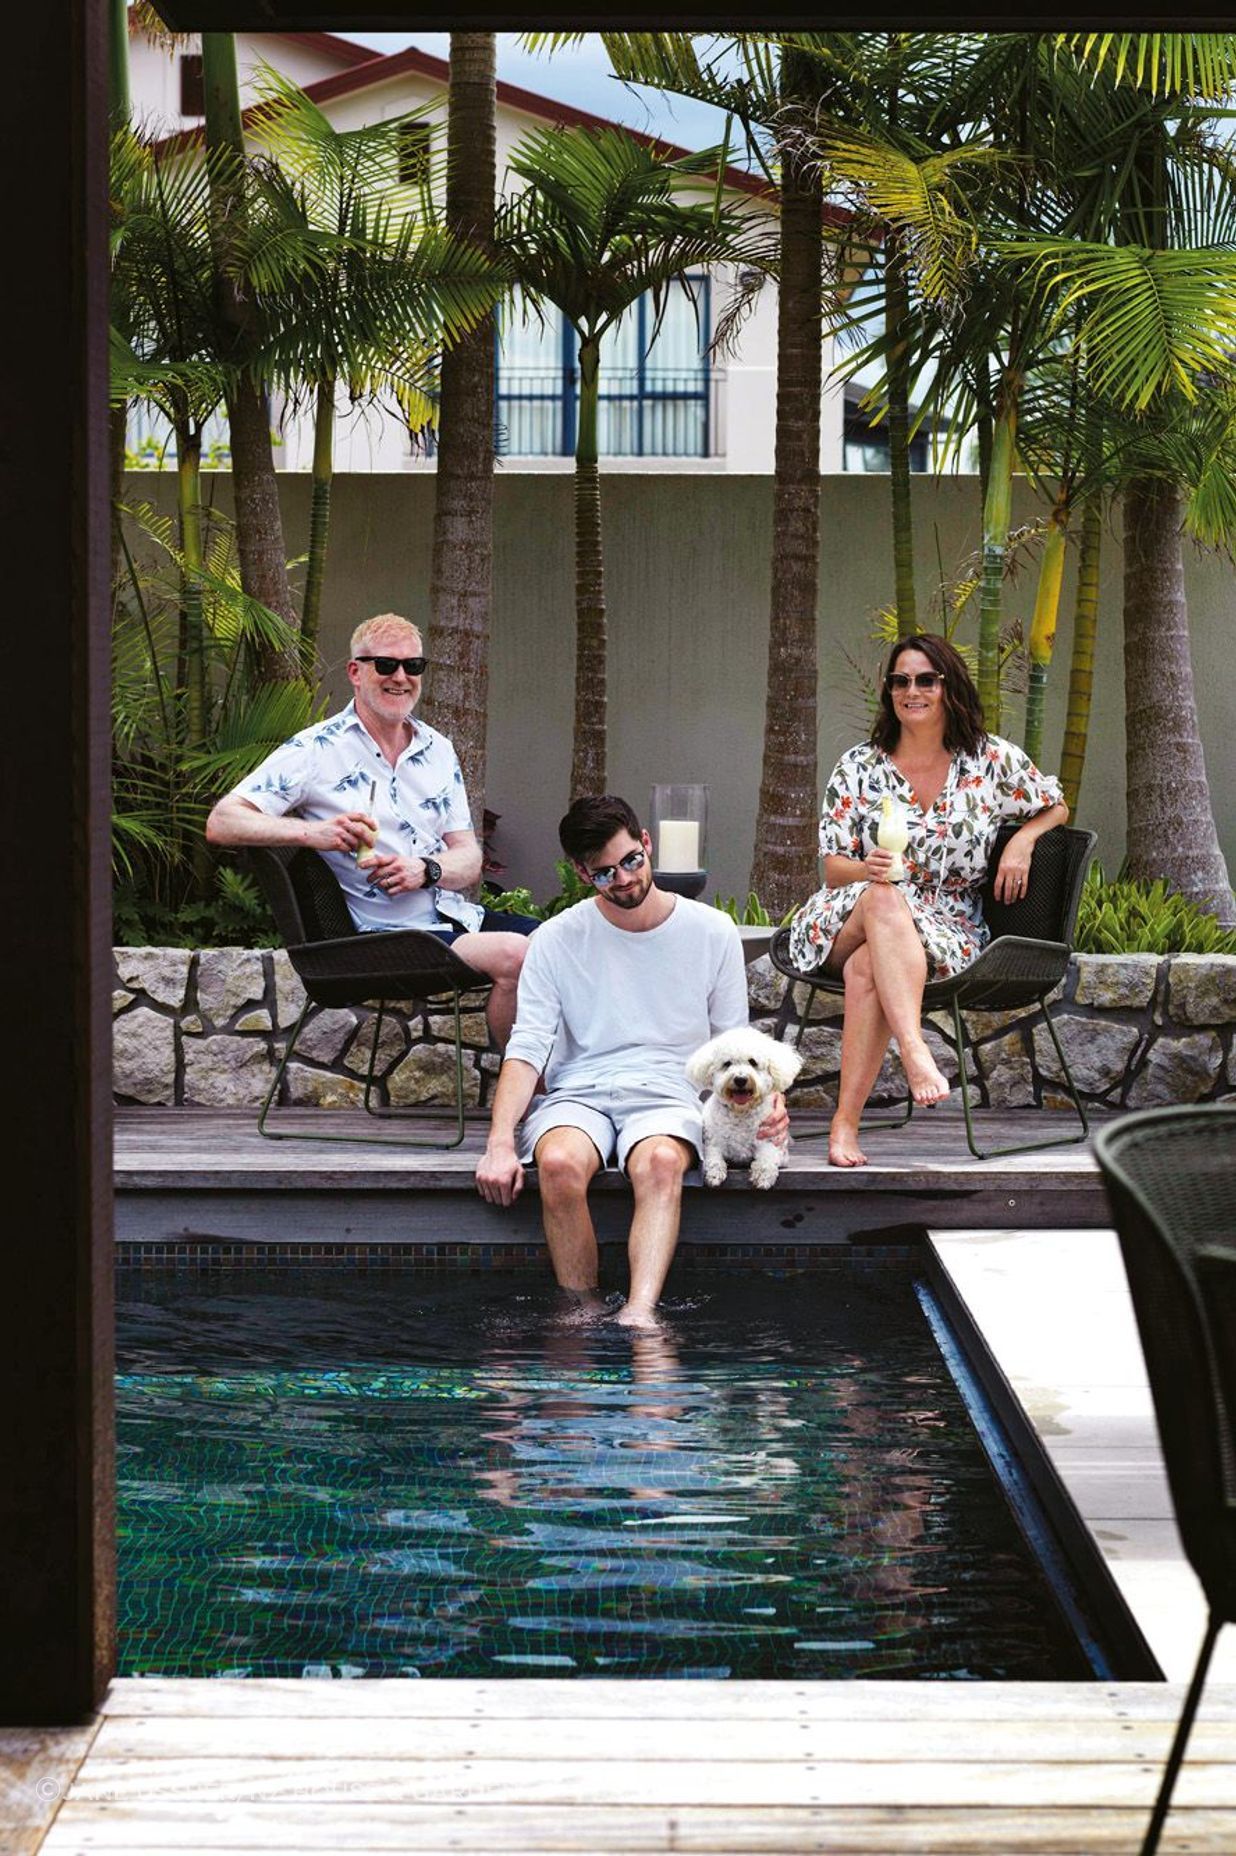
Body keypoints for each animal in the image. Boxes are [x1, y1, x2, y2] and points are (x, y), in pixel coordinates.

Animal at [682, 1031, 798, 1187]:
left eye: (753, 1062)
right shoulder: (713, 1141)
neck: (740, 1112)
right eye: (727, 1064)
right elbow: (713, 1156)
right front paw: (714, 1173)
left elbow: (768, 1156)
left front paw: (763, 1174)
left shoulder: (772, 1142)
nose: (740, 1079)